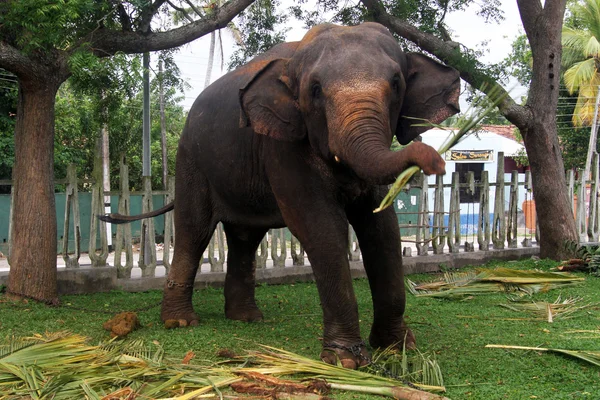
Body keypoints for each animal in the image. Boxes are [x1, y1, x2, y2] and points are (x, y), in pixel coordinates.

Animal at [103, 22, 460, 368]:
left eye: (397, 84)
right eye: (315, 90)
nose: (436, 159)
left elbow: (382, 227)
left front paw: (398, 348)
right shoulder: (283, 146)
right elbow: (320, 226)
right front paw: (345, 360)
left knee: (245, 238)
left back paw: (246, 319)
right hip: (191, 160)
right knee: (195, 231)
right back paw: (180, 323)